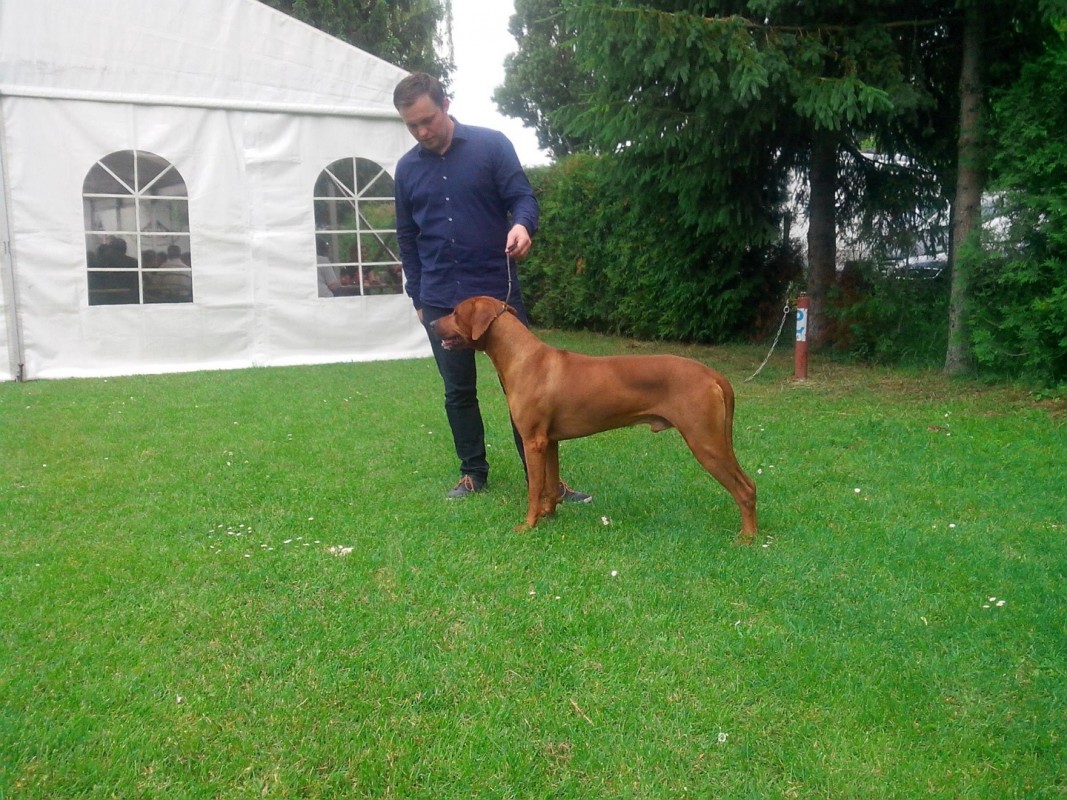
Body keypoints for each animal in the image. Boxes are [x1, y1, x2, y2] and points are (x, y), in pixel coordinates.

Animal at [431, 297, 758, 543]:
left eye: (455, 312)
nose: (431, 323)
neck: (522, 357)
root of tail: (713, 374)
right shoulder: (549, 441)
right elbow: (551, 485)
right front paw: (549, 516)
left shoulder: (532, 440)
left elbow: (535, 487)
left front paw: (528, 525)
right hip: (714, 440)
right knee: (750, 485)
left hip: (705, 441)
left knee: (744, 489)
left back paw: (747, 537)